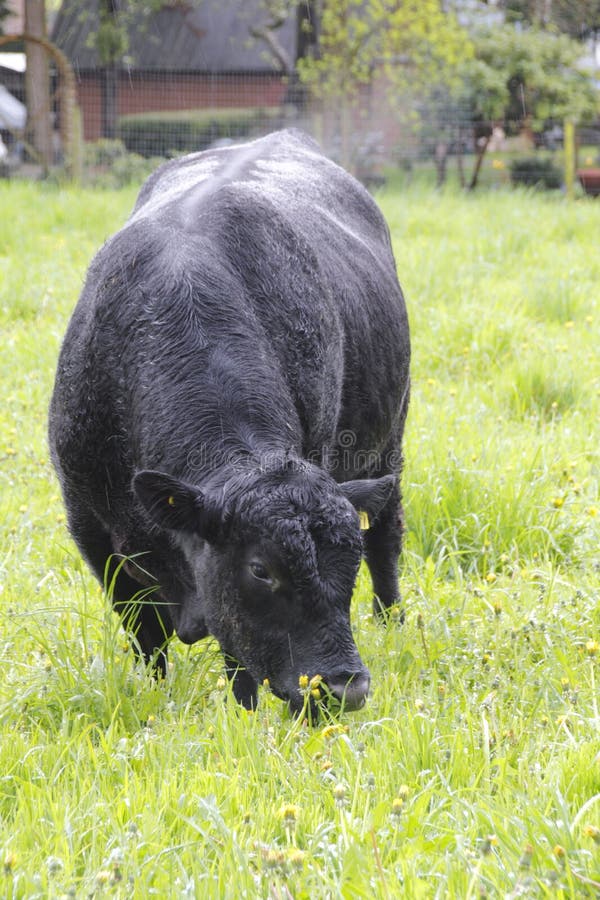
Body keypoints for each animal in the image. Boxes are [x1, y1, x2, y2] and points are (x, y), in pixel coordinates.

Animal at [49, 129, 410, 714]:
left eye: (346, 564)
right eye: (261, 569)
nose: (344, 688)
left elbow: (237, 654)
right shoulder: (93, 530)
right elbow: (146, 635)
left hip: (388, 445)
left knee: (386, 534)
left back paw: (392, 619)